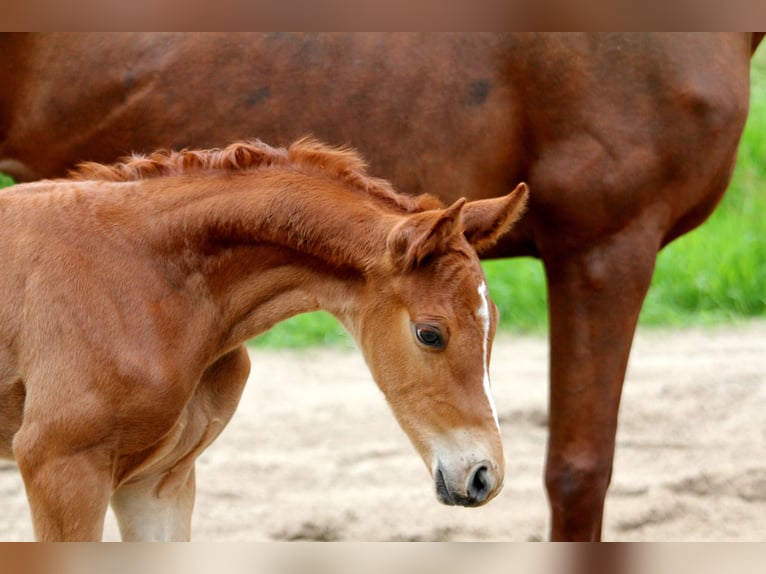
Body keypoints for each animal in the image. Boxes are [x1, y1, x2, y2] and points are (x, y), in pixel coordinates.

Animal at [0, 137, 532, 544]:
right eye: (429, 333)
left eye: (494, 322)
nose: (484, 476)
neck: (144, 274)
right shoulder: (61, 465)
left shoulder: (160, 479)